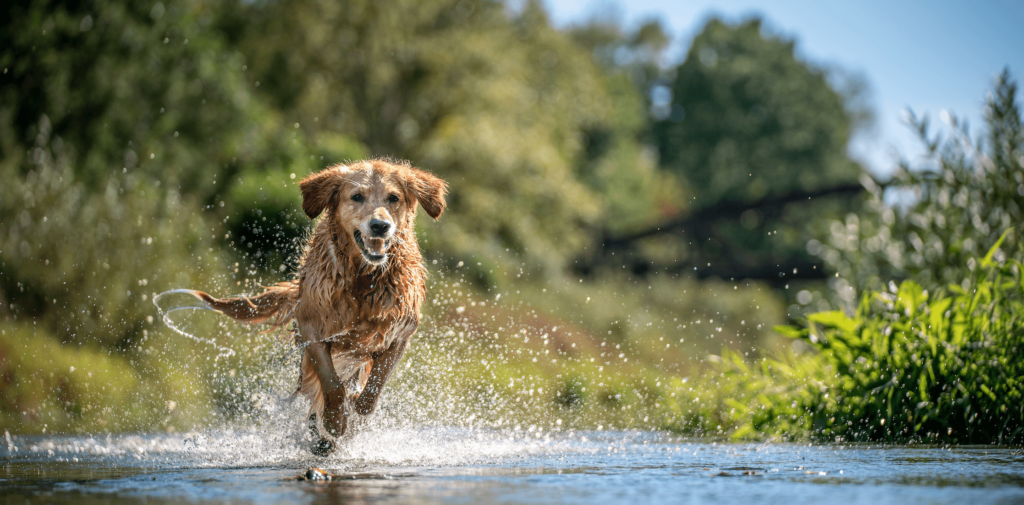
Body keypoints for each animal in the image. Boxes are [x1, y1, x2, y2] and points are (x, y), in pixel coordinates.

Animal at [187, 157, 448, 452]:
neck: (363, 278)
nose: (380, 225)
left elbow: (373, 390)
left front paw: (354, 414)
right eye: (357, 197)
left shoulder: (400, 334)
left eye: (394, 198)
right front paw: (335, 420)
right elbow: (330, 382)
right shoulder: (311, 327)